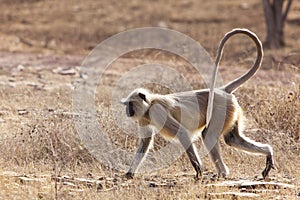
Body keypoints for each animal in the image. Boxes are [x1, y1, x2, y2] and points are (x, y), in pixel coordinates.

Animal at [121, 28, 274, 180]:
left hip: (221, 110)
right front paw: (129, 173)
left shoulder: (156, 111)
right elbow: (145, 143)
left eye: (130, 104)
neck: (150, 103)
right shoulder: (143, 117)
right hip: (231, 111)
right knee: (232, 139)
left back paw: (222, 173)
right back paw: (267, 153)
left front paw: (199, 171)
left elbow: (182, 133)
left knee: (208, 135)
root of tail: (222, 90)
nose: (128, 111)